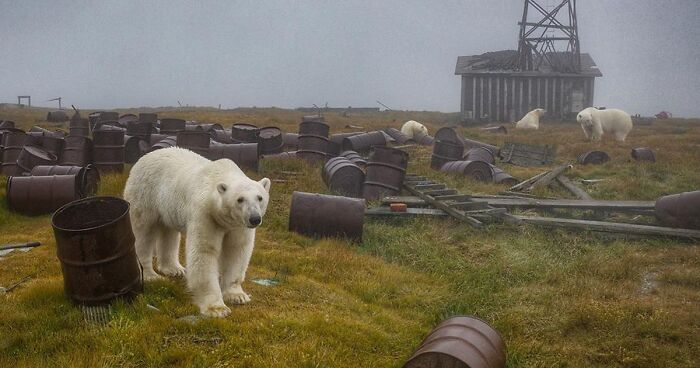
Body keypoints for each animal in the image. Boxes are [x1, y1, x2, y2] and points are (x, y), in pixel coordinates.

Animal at [123, 147, 270, 316]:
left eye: (260, 197)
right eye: (240, 199)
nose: (255, 219)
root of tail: (145, 156)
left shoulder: (238, 225)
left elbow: (237, 250)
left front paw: (237, 296)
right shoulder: (205, 214)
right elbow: (204, 252)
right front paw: (217, 308)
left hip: (168, 205)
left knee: (169, 232)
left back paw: (175, 269)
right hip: (145, 194)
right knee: (143, 233)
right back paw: (150, 275)